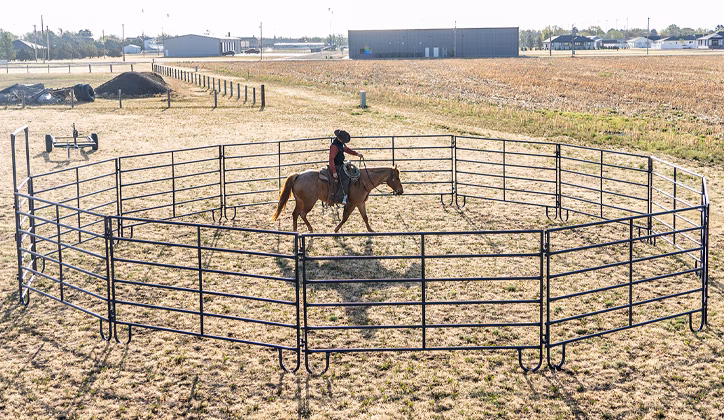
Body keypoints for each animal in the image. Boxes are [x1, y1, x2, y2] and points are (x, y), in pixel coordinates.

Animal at [271, 166, 404, 232]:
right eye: (397, 178)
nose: (401, 191)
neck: (362, 181)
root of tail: (298, 175)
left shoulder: (360, 203)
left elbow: (365, 217)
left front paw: (371, 230)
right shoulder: (353, 204)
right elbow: (345, 218)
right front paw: (336, 229)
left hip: (300, 201)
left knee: (295, 214)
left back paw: (295, 231)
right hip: (309, 202)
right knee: (302, 214)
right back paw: (310, 229)